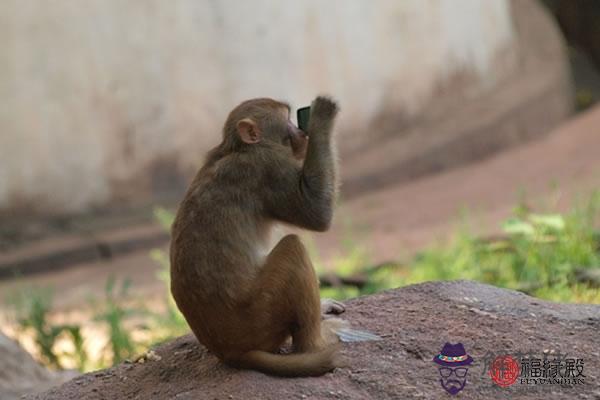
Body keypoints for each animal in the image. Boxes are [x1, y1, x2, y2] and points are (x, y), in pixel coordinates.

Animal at [171, 95, 344, 376]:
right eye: (287, 119)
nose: (299, 132)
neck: (236, 149)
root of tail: (231, 353)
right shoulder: (268, 166)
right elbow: (316, 213)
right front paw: (321, 116)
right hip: (262, 316)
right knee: (293, 247)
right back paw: (314, 346)